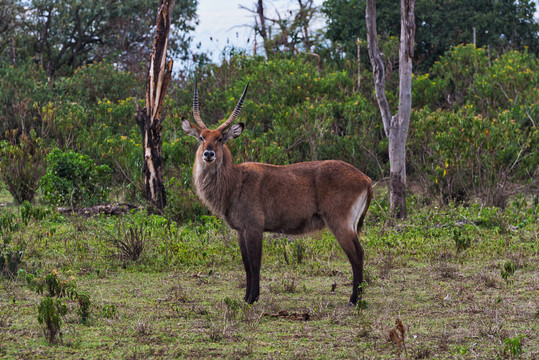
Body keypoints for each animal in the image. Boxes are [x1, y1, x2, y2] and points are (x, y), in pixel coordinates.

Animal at [181, 81, 372, 304]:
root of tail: (365, 178)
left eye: (220, 139)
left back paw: (354, 299)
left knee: (357, 254)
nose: (208, 154)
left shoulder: (254, 227)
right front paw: (246, 298)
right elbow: (246, 265)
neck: (235, 180)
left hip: (340, 223)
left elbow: (255, 264)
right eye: (201, 137)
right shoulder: (240, 230)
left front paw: (253, 298)